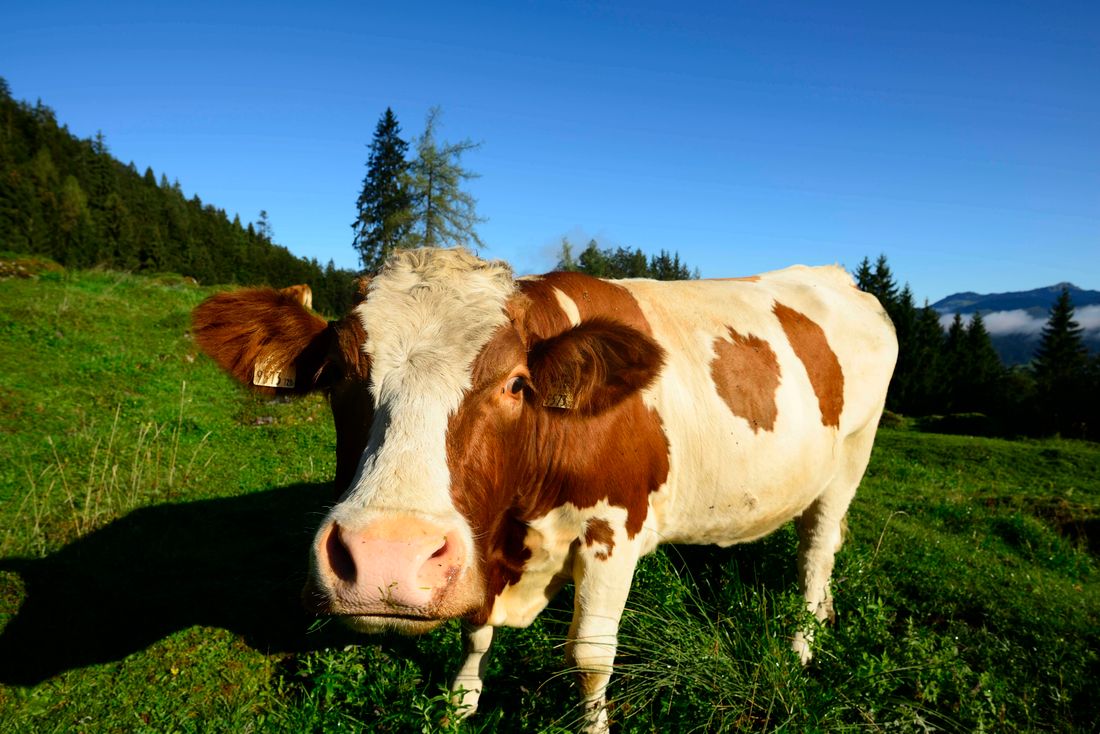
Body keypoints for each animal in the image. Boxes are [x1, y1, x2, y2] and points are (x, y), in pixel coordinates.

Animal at [191, 247, 897, 732]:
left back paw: (802, 645)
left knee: (815, 552)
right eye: (338, 372)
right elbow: (475, 629)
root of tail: (839, 275)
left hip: (851, 459)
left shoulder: (615, 533)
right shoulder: (484, 539)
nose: (385, 560)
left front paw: (592, 725)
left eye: (515, 383)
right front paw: (461, 701)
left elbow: (588, 656)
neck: (521, 526)